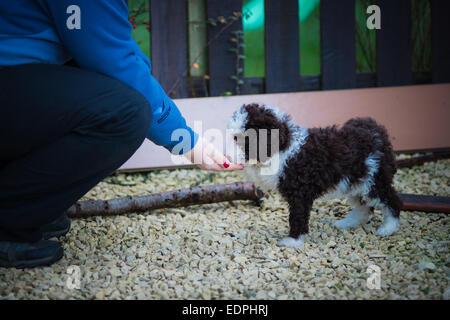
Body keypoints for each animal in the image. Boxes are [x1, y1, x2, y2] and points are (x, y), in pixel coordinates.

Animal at [227, 104, 402, 249]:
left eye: (241, 139)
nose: (227, 157)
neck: (284, 145)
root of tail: (376, 130)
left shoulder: (300, 193)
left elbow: (297, 216)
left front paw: (293, 241)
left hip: (374, 180)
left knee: (392, 201)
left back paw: (388, 228)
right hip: (355, 182)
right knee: (363, 208)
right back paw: (346, 223)